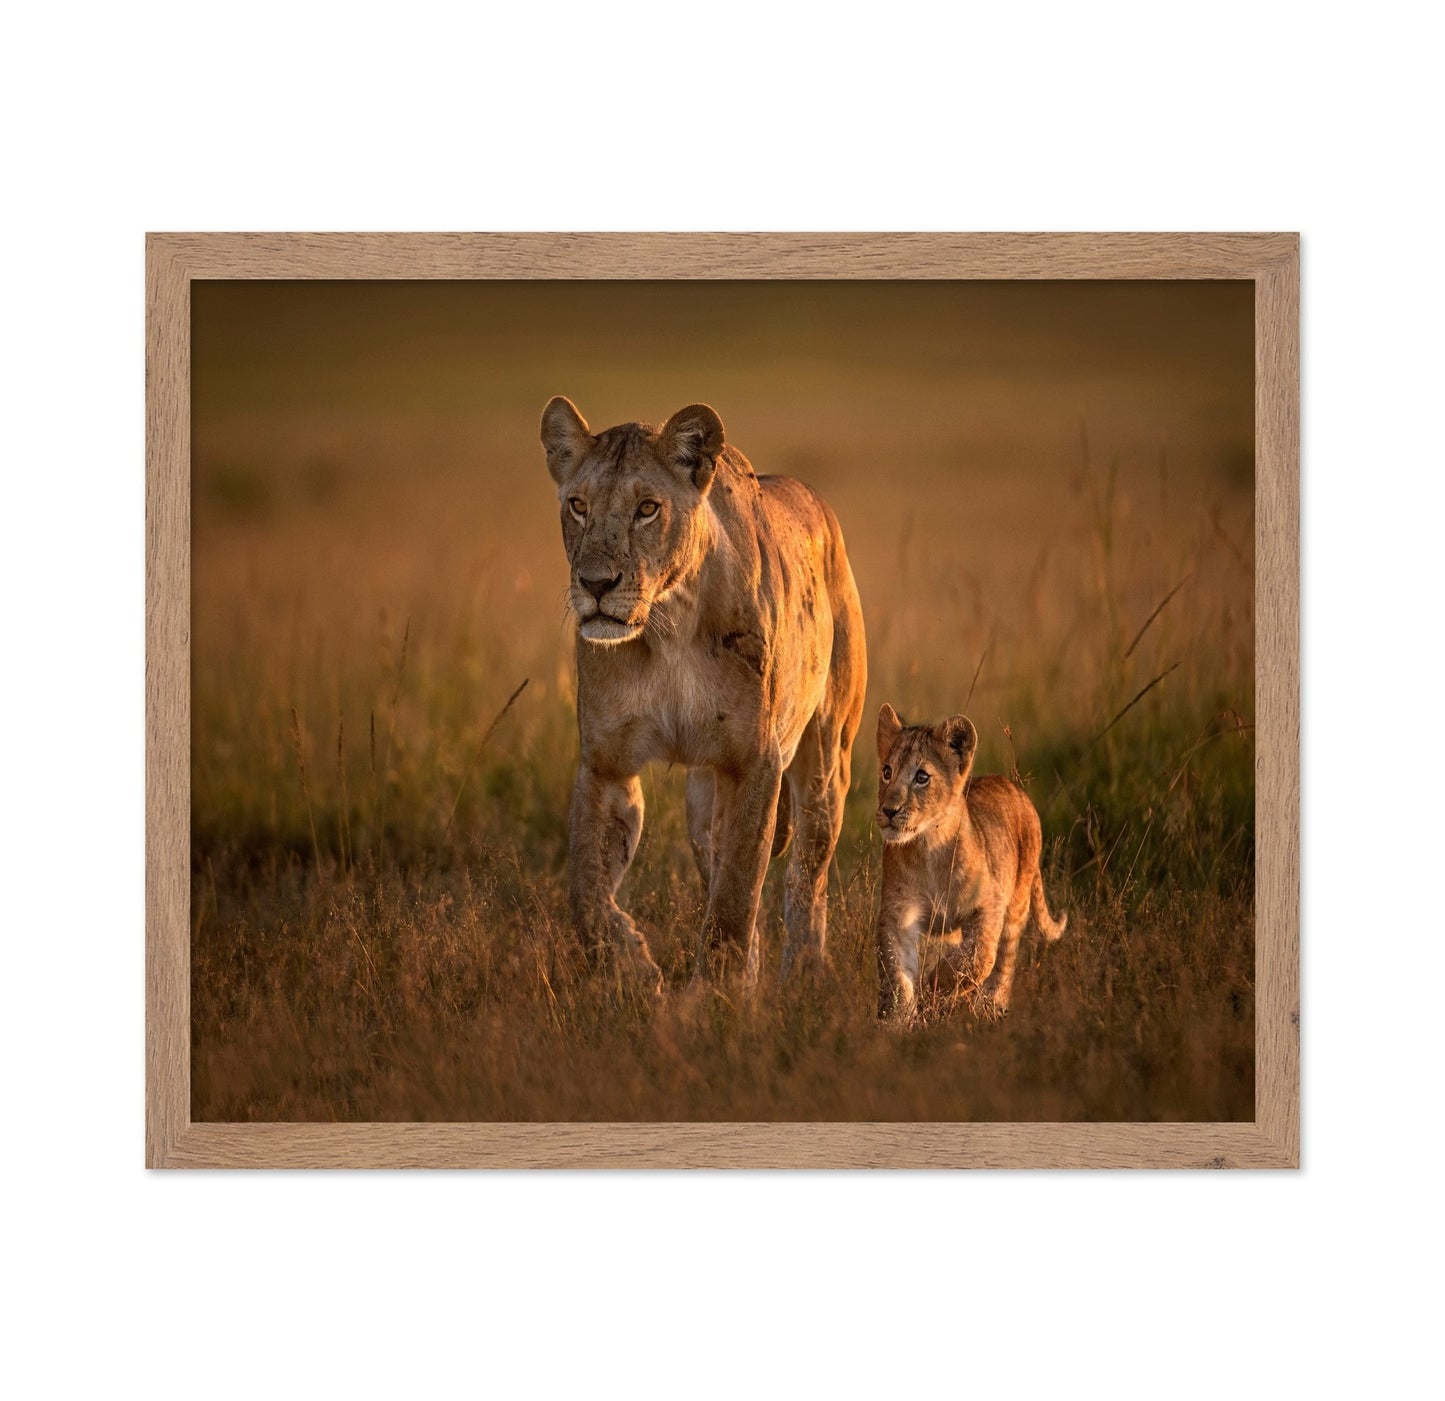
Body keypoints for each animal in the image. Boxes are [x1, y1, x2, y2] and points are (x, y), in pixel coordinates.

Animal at [540, 396, 867, 989]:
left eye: (647, 509)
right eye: (577, 506)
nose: (595, 584)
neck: (668, 624)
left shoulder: (754, 762)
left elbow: (735, 898)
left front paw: (715, 996)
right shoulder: (605, 764)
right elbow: (587, 894)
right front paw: (635, 969)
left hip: (827, 759)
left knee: (808, 876)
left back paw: (804, 974)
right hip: (701, 802)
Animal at [873, 703, 1067, 1020]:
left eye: (922, 777)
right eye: (887, 772)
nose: (889, 810)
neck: (929, 847)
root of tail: (1014, 787)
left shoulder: (989, 903)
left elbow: (979, 955)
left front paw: (936, 985)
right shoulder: (898, 914)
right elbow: (897, 975)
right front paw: (897, 1020)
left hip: (1017, 902)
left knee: (1004, 961)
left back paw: (990, 1007)